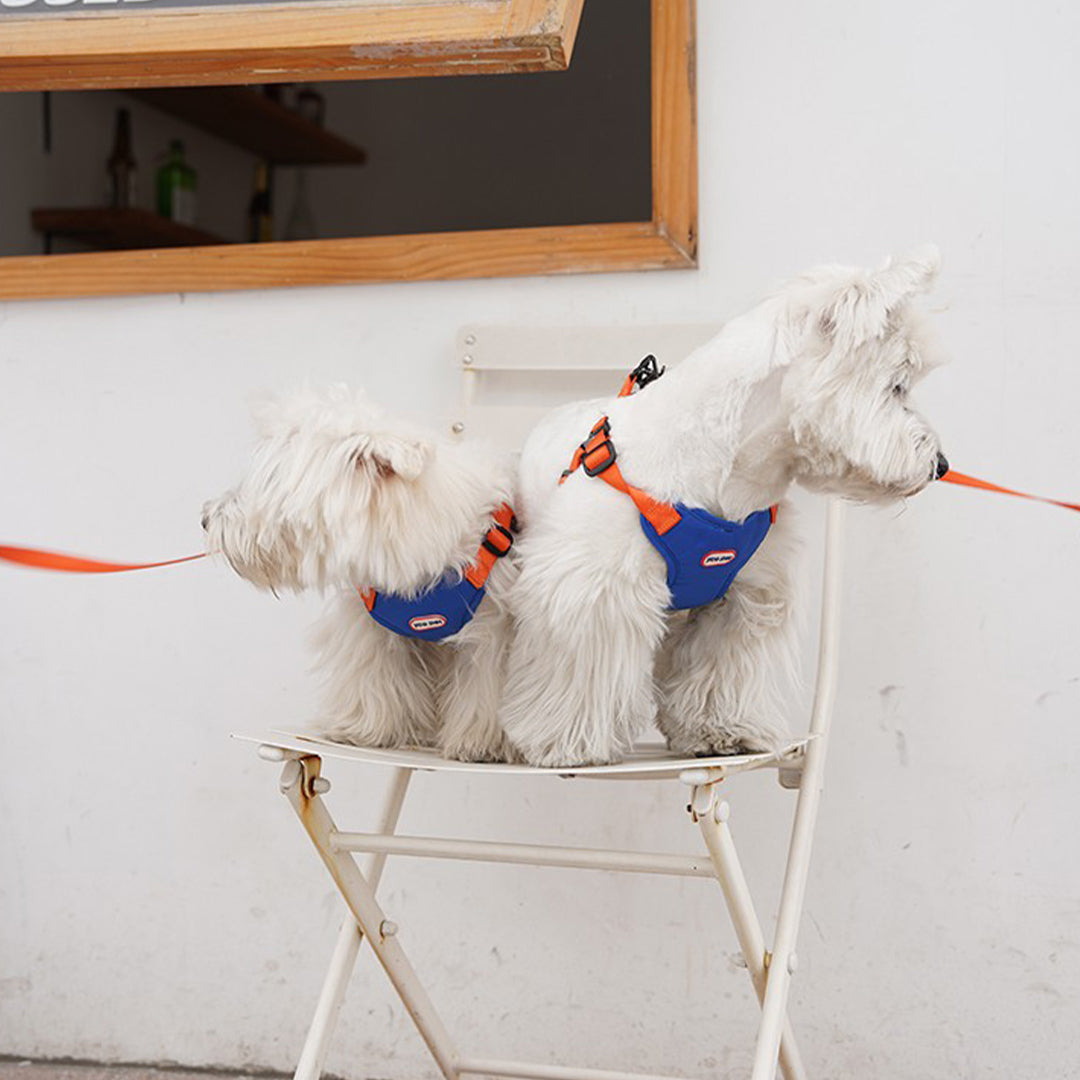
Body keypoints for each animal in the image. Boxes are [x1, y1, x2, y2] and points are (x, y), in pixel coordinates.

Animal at [207, 386, 522, 760]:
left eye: (269, 481)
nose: (206, 519)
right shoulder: (372, 626)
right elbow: (373, 677)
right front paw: (361, 729)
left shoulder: (493, 630)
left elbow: (484, 686)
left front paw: (481, 743)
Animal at [496, 250, 946, 768]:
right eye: (897, 386)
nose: (940, 464)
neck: (726, 466)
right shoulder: (596, 592)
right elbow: (582, 672)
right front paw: (566, 742)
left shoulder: (743, 595)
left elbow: (716, 670)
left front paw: (718, 731)